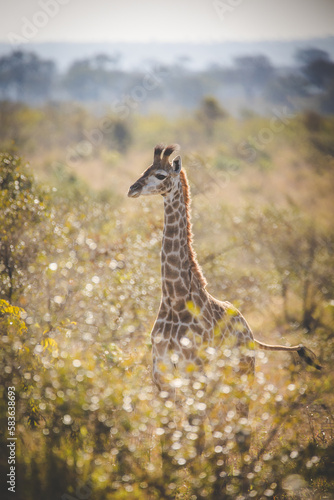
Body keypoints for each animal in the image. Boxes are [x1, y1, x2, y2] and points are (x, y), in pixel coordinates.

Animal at [127, 143, 320, 470]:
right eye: (144, 169)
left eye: (161, 175)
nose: (132, 188)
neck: (175, 298)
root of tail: (250, 332)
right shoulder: (162, 376)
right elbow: (168, 440)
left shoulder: (194, 374)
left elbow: (195, 437)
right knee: (220, 427)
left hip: (243, 376)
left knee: (240, 428)